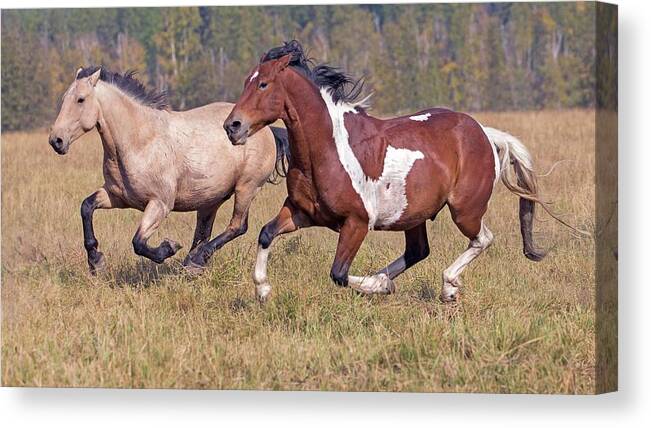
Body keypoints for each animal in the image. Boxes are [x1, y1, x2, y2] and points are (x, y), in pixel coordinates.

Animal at [52, 67, 292, 274]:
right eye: (63, 99)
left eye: (80, 99)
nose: (56, 141)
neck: (140, 141)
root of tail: (268, 130)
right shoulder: (116, 196)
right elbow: (86, 207)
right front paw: (96, 262)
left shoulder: (160, 204)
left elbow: (138, 242)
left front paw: (168, 248)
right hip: (210, 199)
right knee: (203, 233)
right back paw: (193, 264)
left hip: (246, 188)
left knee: (237, 226)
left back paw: (195, 261)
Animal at [208, 39, 560, 300]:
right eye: (247, 82)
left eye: (264, 84)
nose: (232, 127)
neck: (326, 149)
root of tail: (484, 132)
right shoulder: (300, 212)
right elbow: (266, 234)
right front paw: (263, 290)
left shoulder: (357, 223)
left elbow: (338, 272)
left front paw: (379, 285)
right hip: (414, 214)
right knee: (419, 250)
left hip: (465, 209)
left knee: (482, 239)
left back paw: (447, 287)